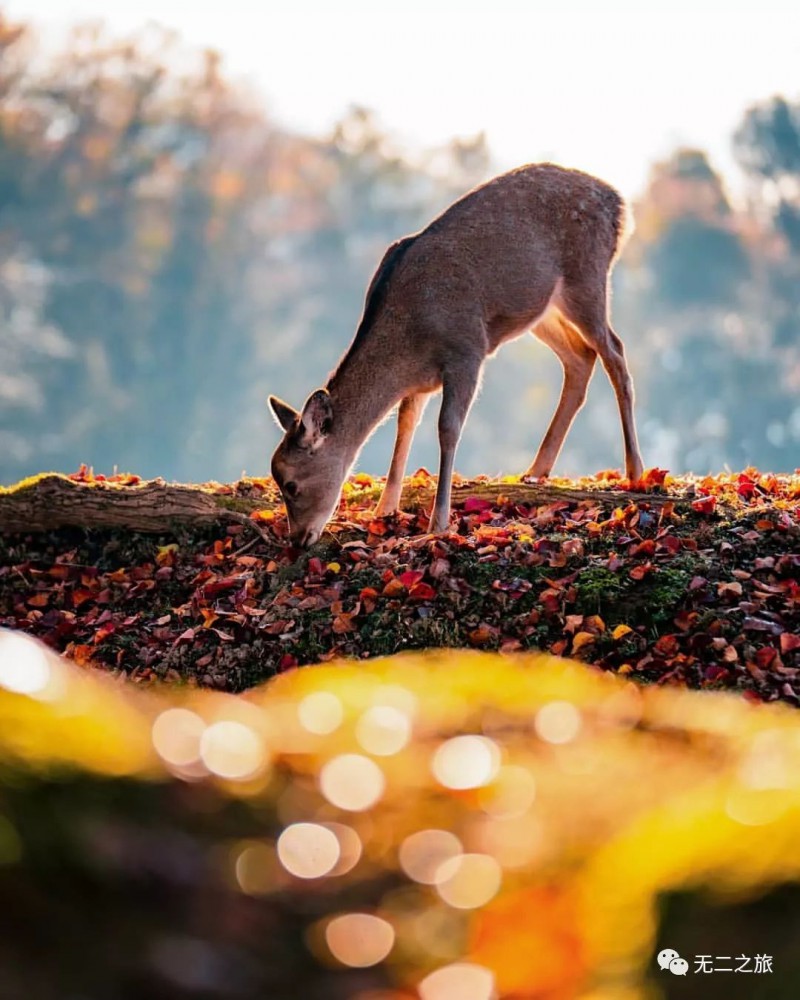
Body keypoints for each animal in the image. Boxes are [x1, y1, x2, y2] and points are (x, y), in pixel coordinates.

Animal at [268, 164, 644, 548]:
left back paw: (635, 471)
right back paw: (537, 470)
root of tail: (619, 204)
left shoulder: (466, 350)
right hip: (542, 310)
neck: (409, 343)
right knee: (580, 357)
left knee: (615, 352)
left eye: (291, 484)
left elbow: (447, 428)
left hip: (587, 277)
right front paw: (384, 510)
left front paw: (437, 523)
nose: (297, 539)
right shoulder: (420, 382)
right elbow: (405, 426)